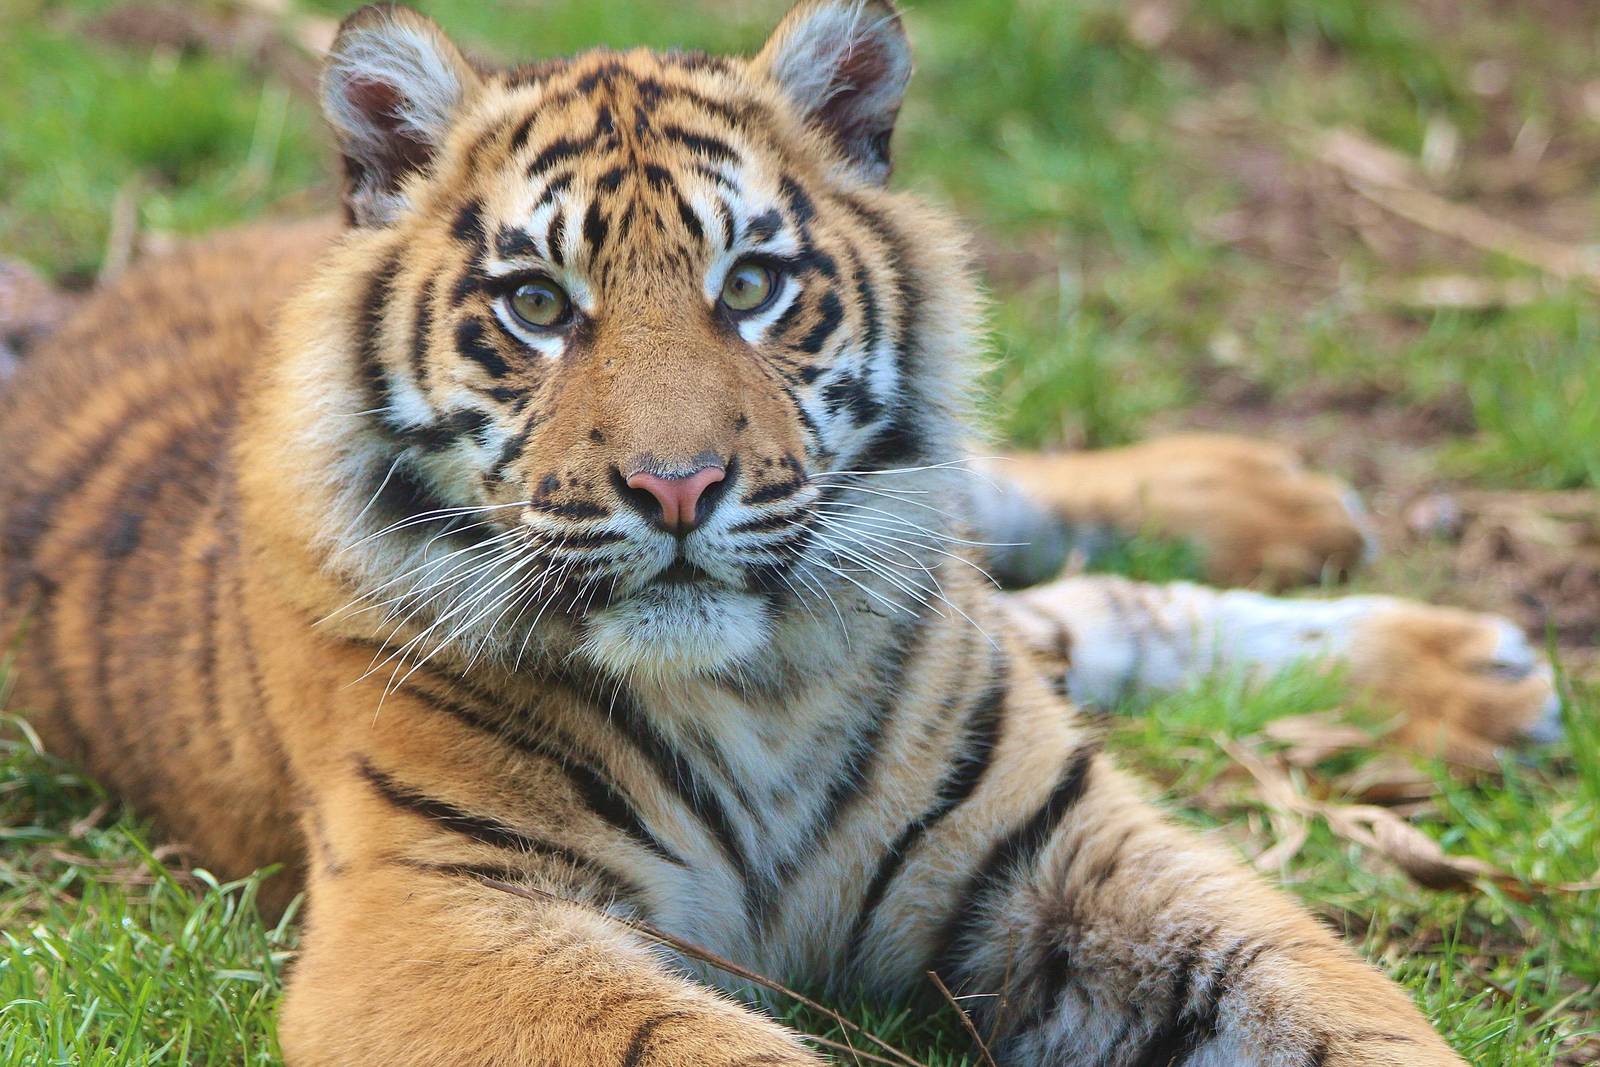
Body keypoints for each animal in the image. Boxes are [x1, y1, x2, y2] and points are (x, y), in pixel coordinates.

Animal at [0, 3, 1562, 1064]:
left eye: (750, 284)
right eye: (538, 305)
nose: (679, 486)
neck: (755, 683)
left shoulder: (1068, 849)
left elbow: (1338, 1000)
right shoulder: (434, 914)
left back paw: (1303, 523)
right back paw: (1465, 667)